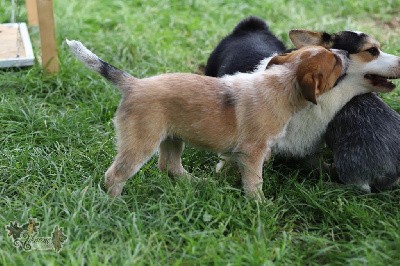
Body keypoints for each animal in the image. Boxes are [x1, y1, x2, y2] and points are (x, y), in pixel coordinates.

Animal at [67, 40, 348, 200]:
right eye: (334, 61)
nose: (345, 50)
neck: (282, 82)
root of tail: (133, 84)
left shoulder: (242, 153)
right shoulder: (252, 152)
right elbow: (254, 182)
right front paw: (259, 206)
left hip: (172, 138)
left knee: (169, 166)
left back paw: (198, 184)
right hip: (141, 143)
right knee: (114, 175)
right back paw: (115, 203)